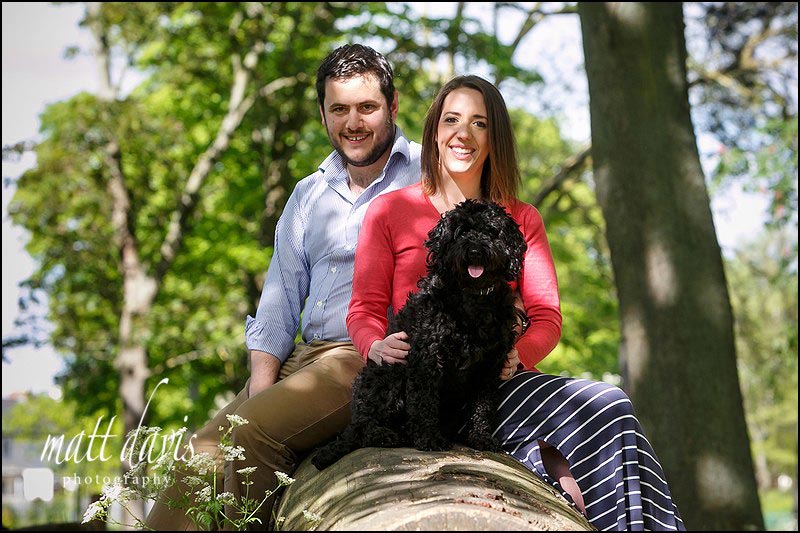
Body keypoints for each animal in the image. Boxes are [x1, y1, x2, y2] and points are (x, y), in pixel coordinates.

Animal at [312, 200, 532, 470]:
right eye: (461, 232)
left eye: (491, 232)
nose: (474, 250)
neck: (472, 300)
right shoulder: (426, 361)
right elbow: (424, 403)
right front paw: (429, 438)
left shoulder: (488, 368)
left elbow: (483, 407)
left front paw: (481, 438)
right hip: (387, 376)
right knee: (364, 426)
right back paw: (386, 435)